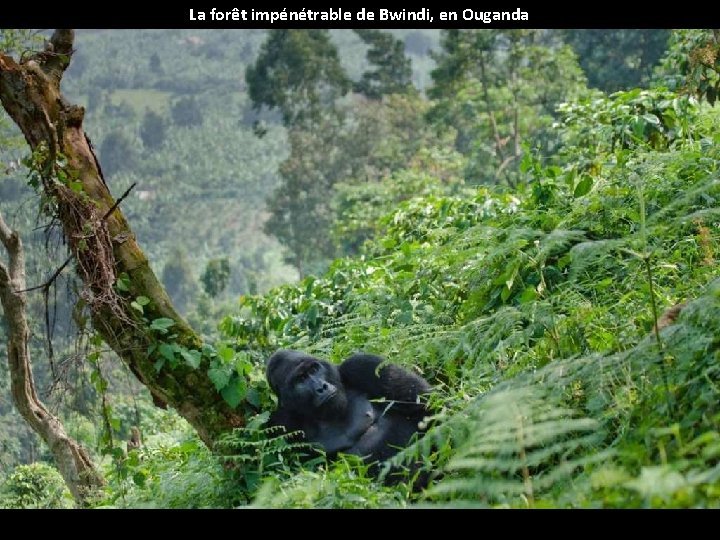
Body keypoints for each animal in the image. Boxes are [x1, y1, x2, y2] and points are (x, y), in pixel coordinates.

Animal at [266, 348, 430, 466]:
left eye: (314, 370)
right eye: (301, 379)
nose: (322, 387)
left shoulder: (362, 365)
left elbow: (424, 404)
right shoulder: (282, 422)